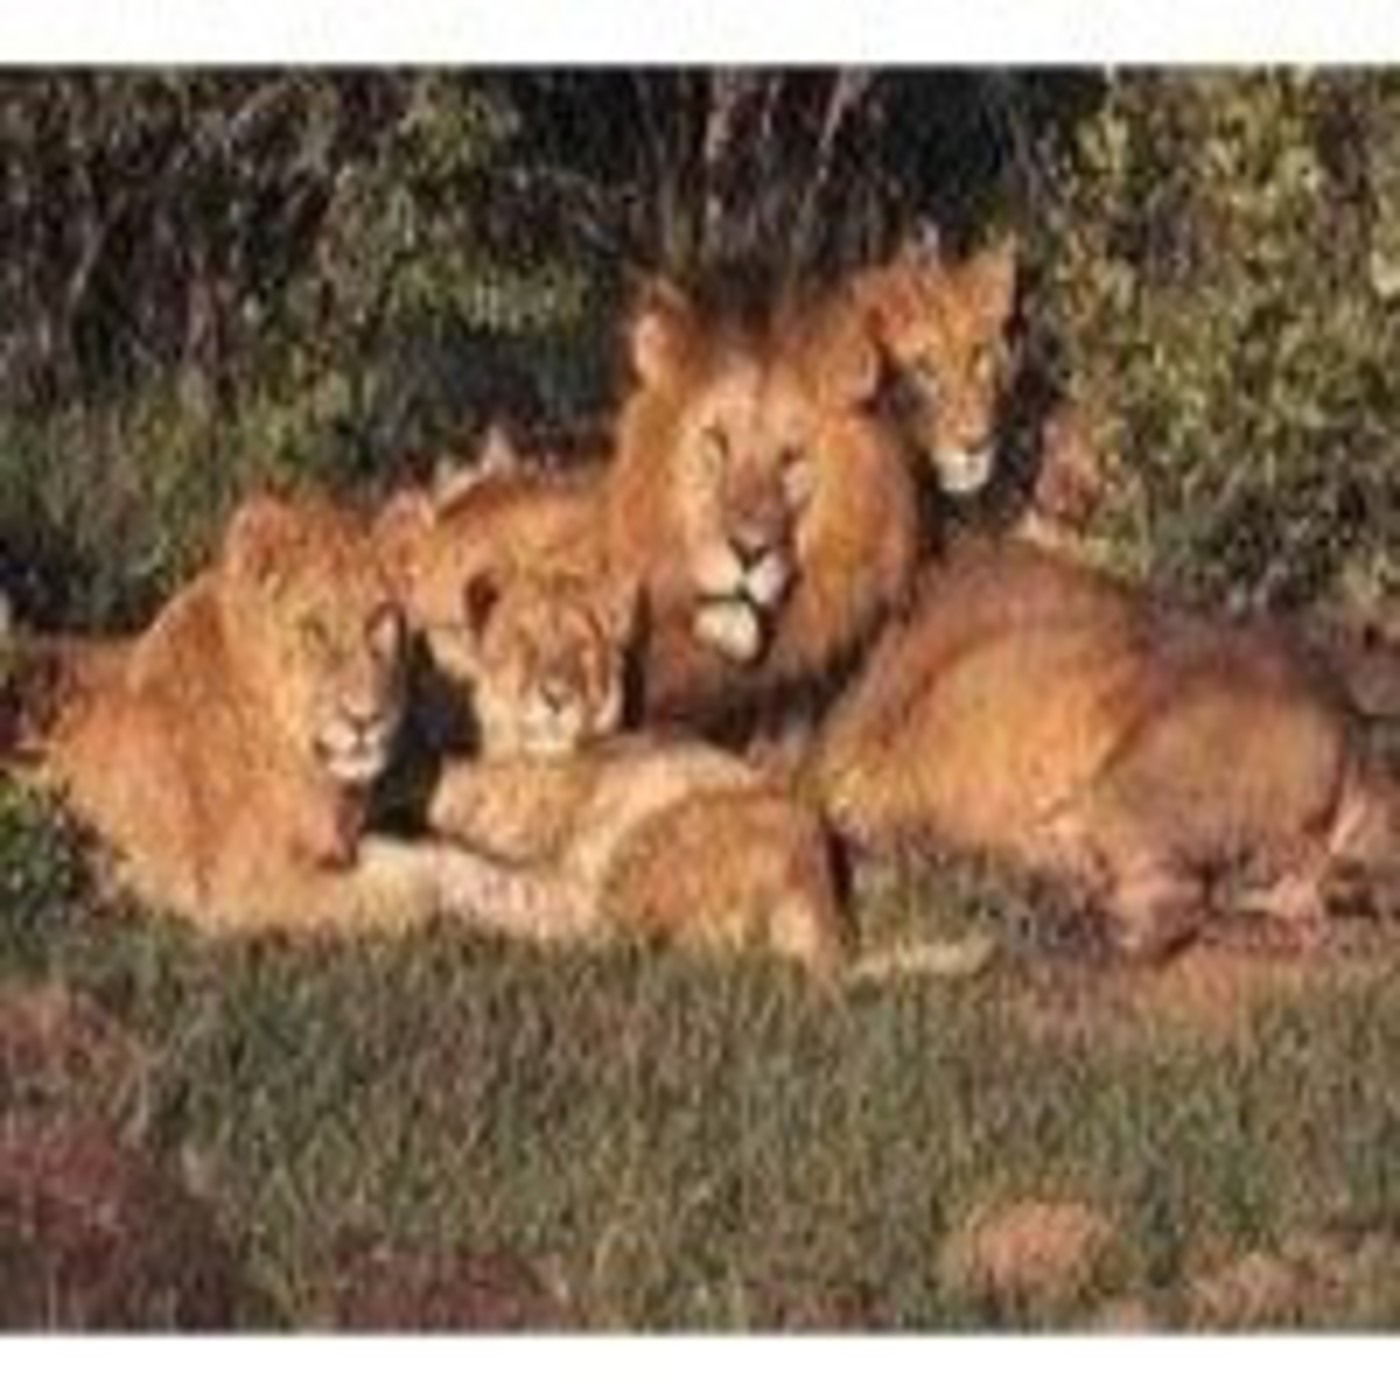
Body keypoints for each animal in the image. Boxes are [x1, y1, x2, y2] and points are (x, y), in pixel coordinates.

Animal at [2, 491, 586, 938]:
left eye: (380, 619)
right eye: (314, 629)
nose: (365, 718)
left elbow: (444, 860)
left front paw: (542, 903)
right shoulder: (235, 887)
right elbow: (410, 893)